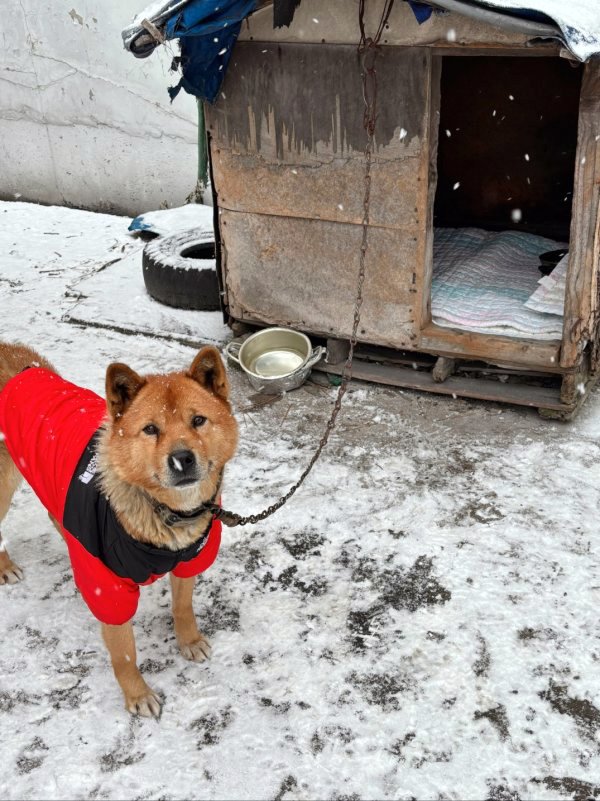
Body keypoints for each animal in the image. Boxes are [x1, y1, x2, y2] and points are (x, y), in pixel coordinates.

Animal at [0, 340, 239, 716]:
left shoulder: (188, 560)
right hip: (5, 484)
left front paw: (188, 640)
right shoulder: (106, 586)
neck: (165, 512)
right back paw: (6, 566)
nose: (182, 459)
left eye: (198, 420)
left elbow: (183, 606)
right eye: (151, 429)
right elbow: (124, 651)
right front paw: (137, 694)